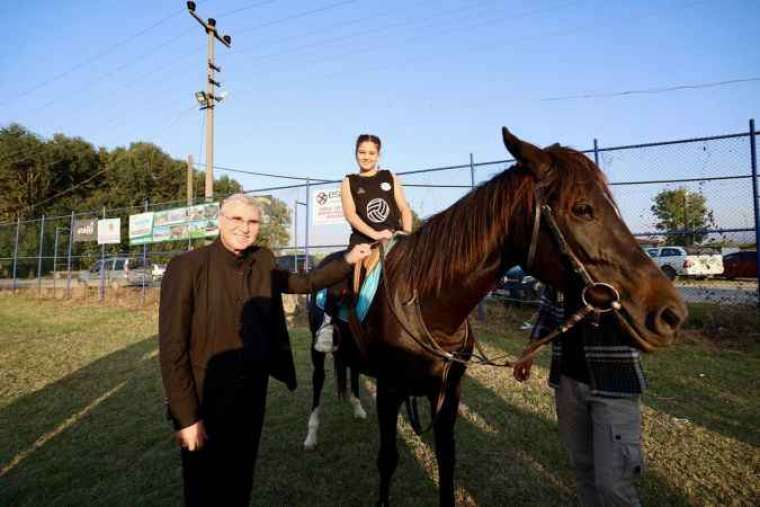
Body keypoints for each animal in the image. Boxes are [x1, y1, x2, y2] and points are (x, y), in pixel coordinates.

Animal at [306, 129, 684, 507]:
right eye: (582, 209)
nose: (670, 314)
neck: (425, 306)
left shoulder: (448, 394)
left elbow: (447, 459)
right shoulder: (389, 390)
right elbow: (387, 459)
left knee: (350, 371)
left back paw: (357, 407)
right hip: (316, 353)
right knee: (318, 382)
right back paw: (311, 435)